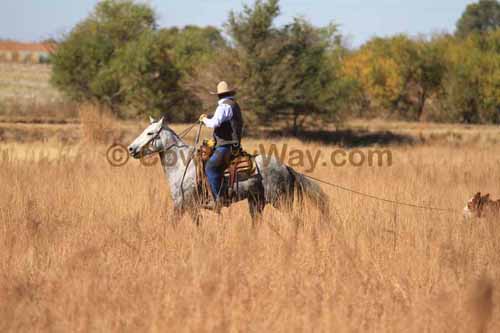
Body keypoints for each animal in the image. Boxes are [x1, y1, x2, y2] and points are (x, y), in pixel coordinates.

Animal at [128, 116, 328, 223]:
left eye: (150, 133)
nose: (131, 148)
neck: (183, 166)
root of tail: (286, 167)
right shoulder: (188, 207)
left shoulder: (183, 205)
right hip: (256, 202)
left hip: (281, 201)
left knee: (296, 221)